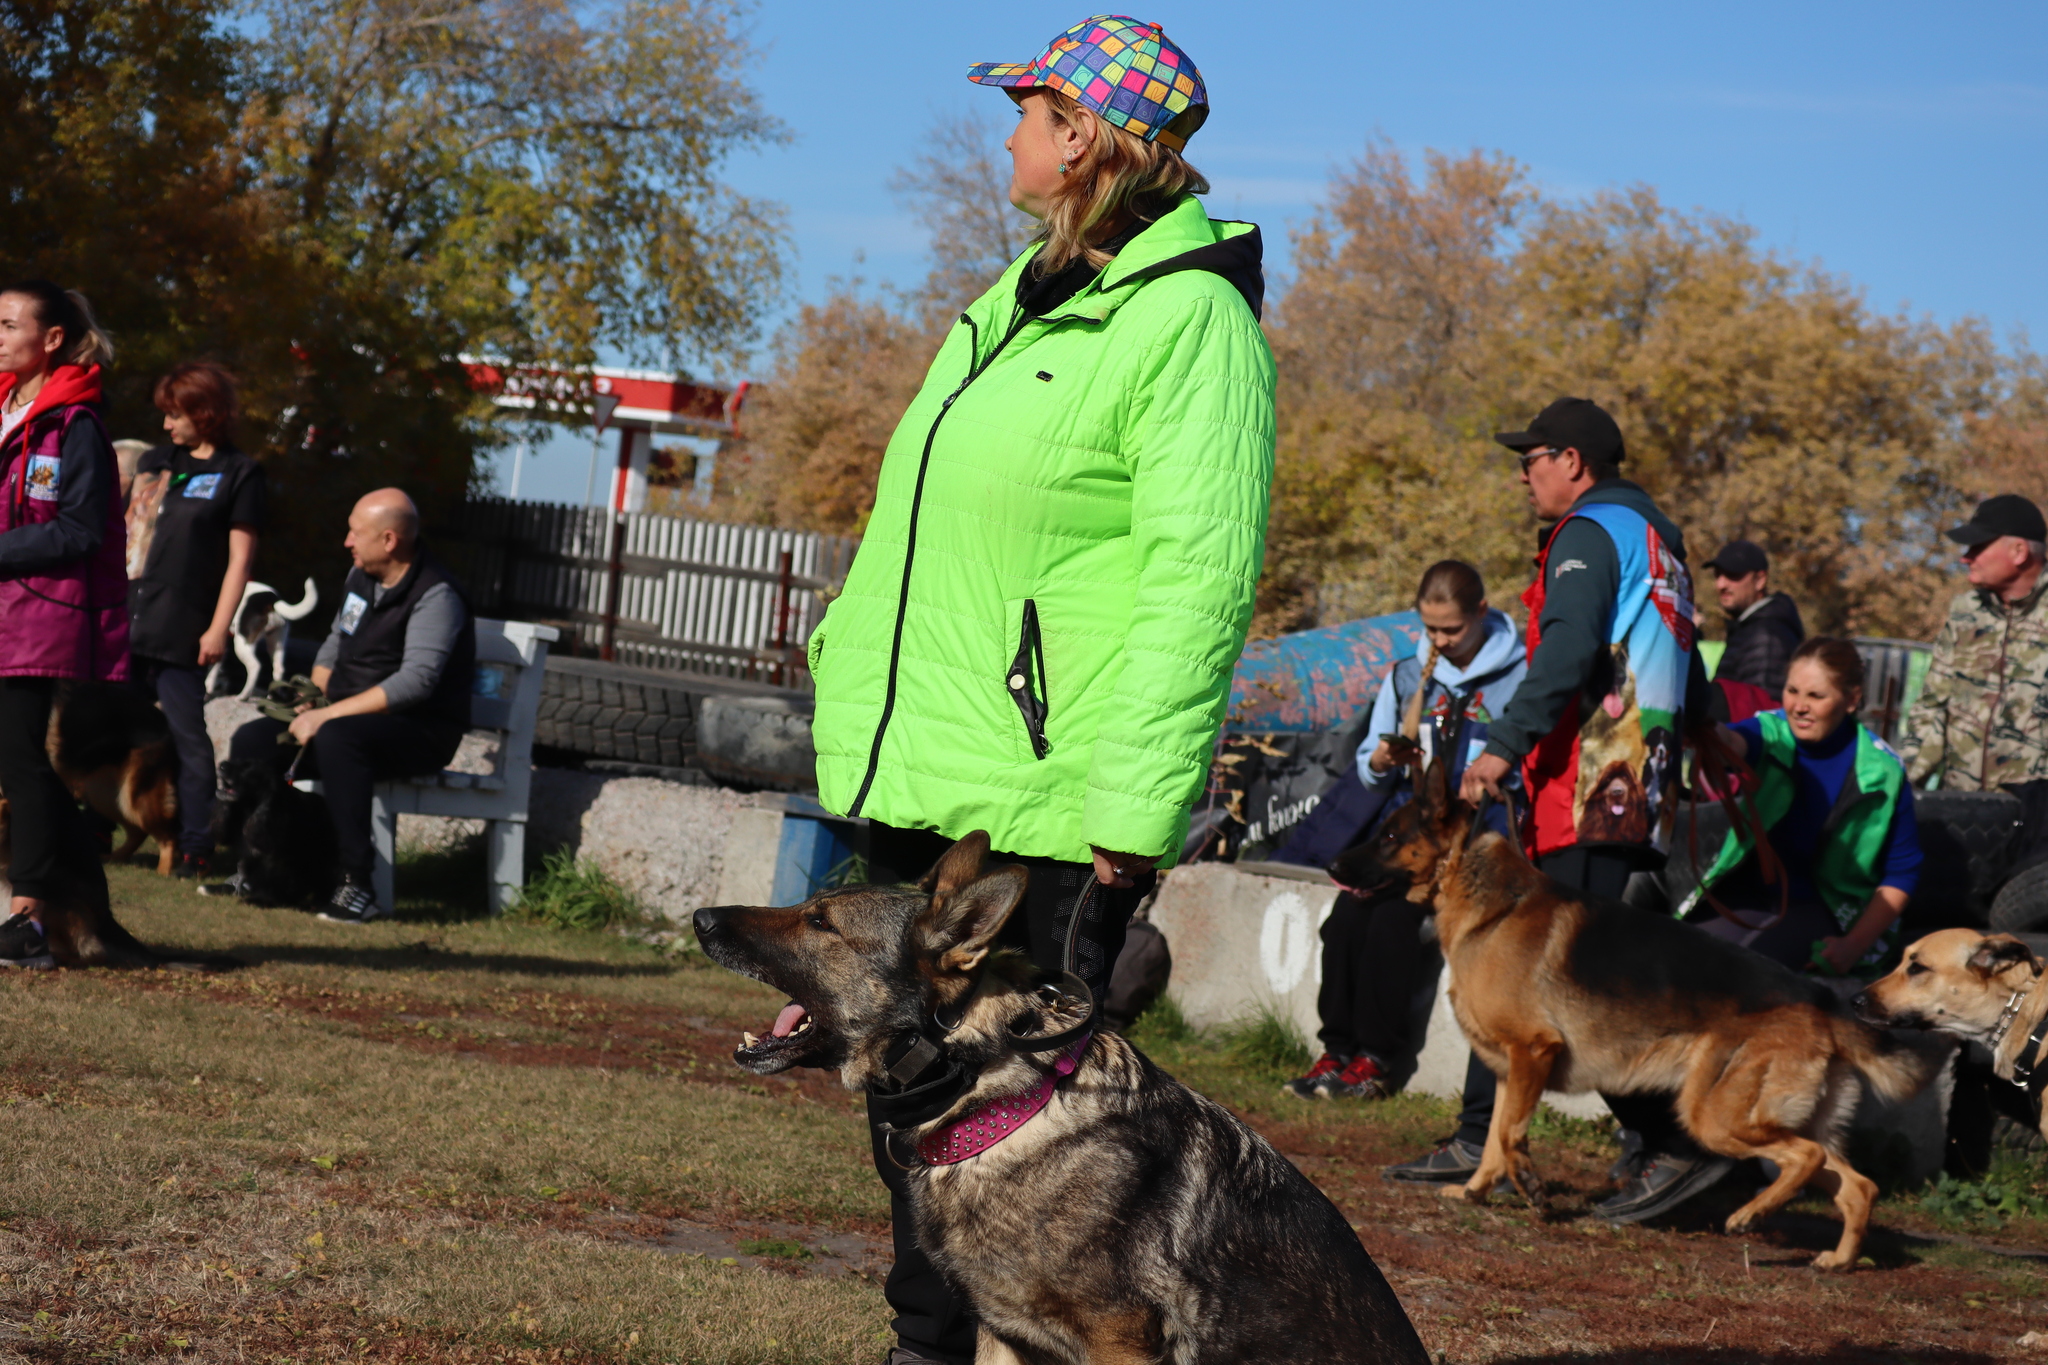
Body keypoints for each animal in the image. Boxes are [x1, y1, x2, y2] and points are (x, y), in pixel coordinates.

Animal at [211, 757, 335, 908]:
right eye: (234, 760)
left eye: (247, 767)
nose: (222, 765)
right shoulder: (251, 857)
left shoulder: (280, 860)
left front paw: (263, 900)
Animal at [1327, 757, 1933, 1268]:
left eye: (1389, 836)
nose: (1332, 863)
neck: (1481, 892)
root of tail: (1822, 1003)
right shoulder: (1508, 1069)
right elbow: (1496, 1137)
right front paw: (1476, 1191)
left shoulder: (1533, 1052)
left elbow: (1511, 1134)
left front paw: (1532, 1189)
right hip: (1773, 1117)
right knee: (1858, 1187)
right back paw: (1838, 1261)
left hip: (1714, 1114)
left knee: (1802, 1158)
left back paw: (1748, 1213)